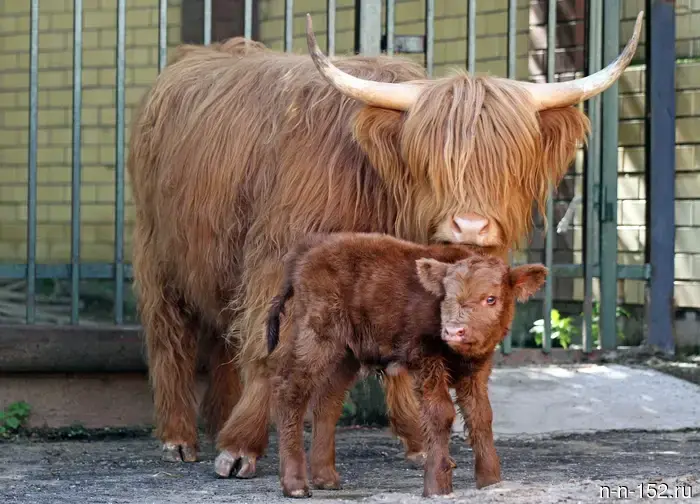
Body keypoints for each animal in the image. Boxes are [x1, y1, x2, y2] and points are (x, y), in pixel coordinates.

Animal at [266, 232, 548, 497]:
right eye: (447, 296)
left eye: (491, 299)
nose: (453, 331)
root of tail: (312, 246)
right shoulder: (425, 359)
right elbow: (441, 412)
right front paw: (437, 485)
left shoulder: (477, 369)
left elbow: (480, 415)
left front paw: (491, 481)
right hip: (317, 336)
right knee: (291, 391)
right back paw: (295, 485)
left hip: (346, 353)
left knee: (328, 401)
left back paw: (326, 478)